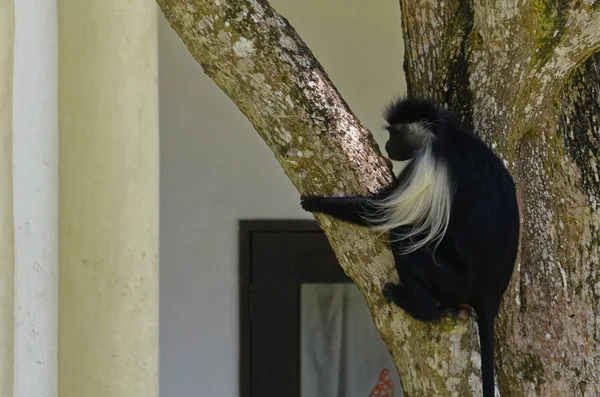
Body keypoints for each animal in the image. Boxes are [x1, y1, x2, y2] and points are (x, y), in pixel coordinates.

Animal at [300, 96, 520, 396]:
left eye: (396, 133)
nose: (388, 146)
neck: (445, 134)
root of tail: (490, 295)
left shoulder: (427, 162)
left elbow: (381, 211)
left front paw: (317, 202)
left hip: (456, 280)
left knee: (404, 239)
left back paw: (418, 307)